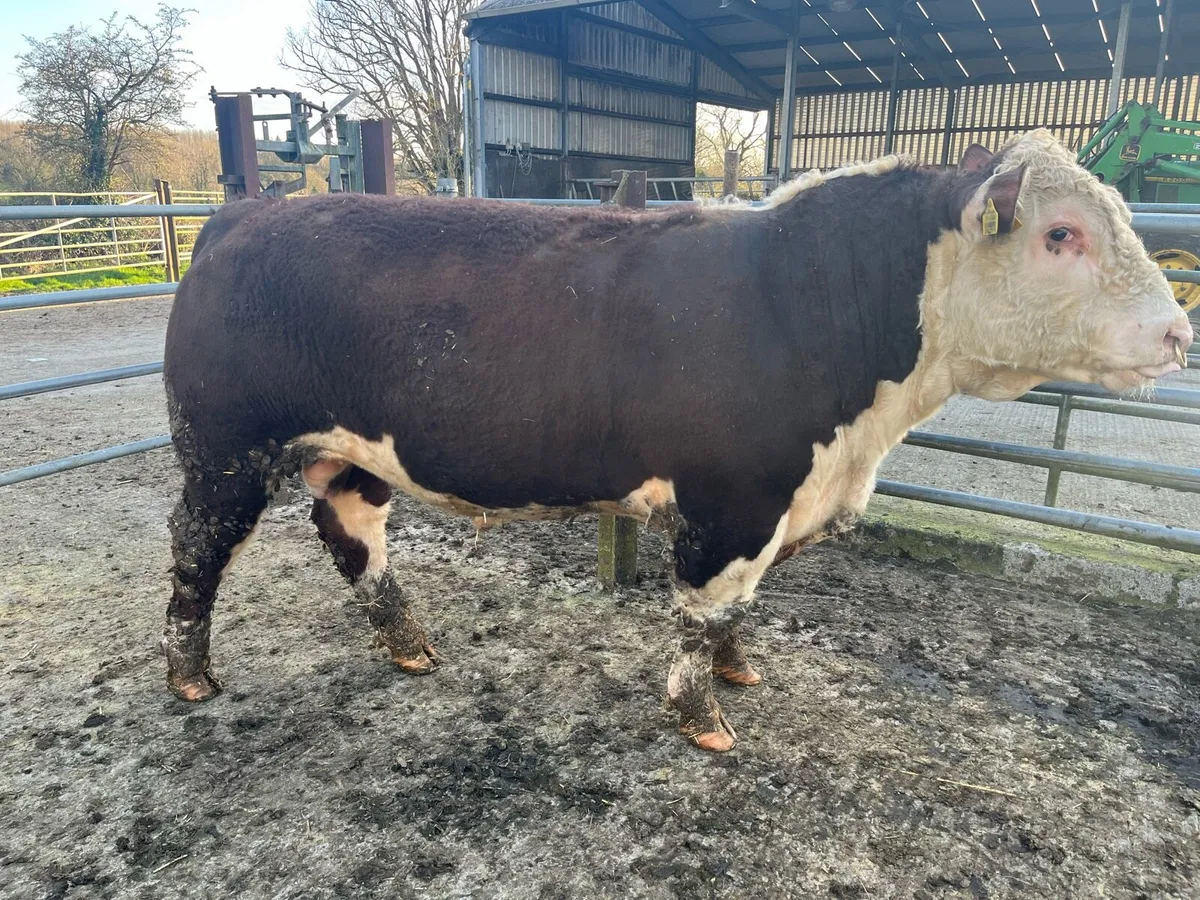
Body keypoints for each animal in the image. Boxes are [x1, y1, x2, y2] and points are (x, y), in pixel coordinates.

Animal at [162, 129, 1192, 752]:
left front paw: (742, 671)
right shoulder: (730, 501)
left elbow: (741, 609)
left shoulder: (780, 503)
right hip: (222, 450)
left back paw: (410, 645)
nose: (1179, 333)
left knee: (352, 538)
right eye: (1062, 234)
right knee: (195, 551)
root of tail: (246, 213)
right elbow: (705, 608)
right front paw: (704, 716)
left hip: (347, 453)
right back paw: (190, 678)